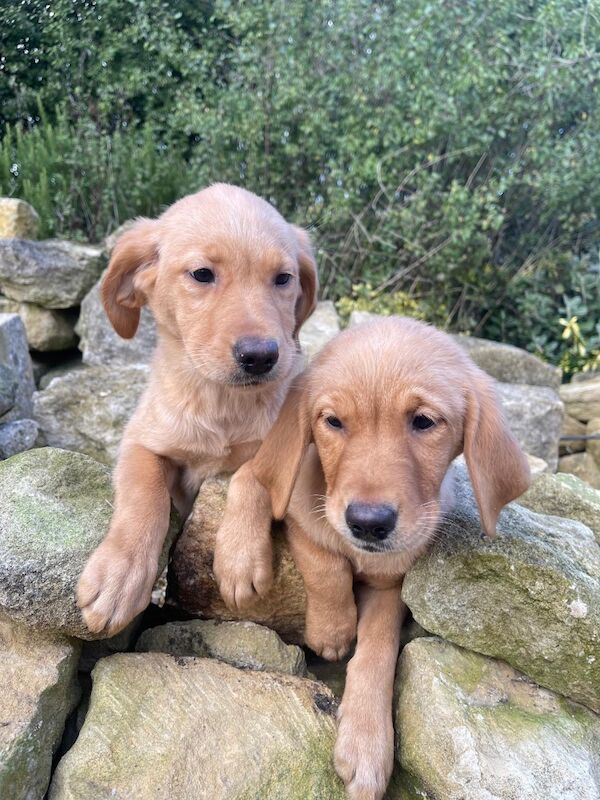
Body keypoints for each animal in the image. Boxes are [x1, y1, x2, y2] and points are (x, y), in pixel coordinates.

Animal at [78, 183, 318, 636]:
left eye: (283, 279)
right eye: (202, 274)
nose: (261, 357)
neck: (219, 400)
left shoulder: (298, 443)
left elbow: (251, 472)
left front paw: (240, 557)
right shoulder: (139, 441)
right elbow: (145, 493)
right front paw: (119, 575)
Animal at [214, 318, 528, 800]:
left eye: (423, 421)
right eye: (333, 421)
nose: (367, 524)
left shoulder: (394, 582)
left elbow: (378, 648)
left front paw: (366, 742)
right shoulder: (305, 512)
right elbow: (326, 563)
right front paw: (333, 630)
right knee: (257, 471)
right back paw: (240, 558)